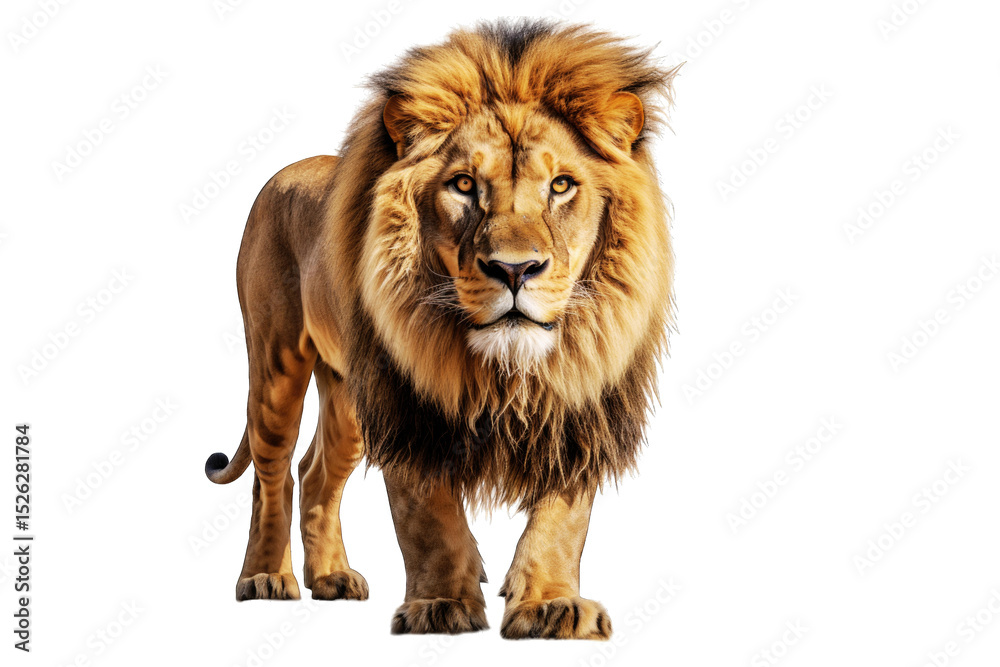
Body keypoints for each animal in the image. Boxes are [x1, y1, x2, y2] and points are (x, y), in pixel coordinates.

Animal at [204, 19, 679, 640]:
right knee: (273, 471)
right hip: (277, 360)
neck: (508, 369)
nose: (515, 270)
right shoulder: (407, 402)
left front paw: (551, 606)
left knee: (315, 473)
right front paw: (440, 606)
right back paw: (264, 577)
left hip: (349, 396)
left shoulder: (577, 401)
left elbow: (562, 518)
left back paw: (332, 578)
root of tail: (289, 170)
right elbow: (427, 516)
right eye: (463, 185)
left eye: (561, 186)